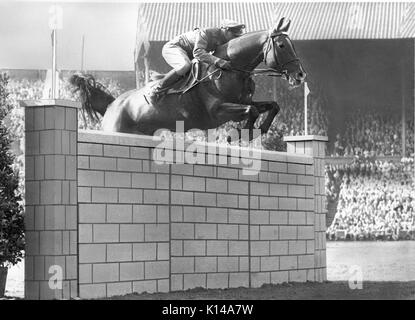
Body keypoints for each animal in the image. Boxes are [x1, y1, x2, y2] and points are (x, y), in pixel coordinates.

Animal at [70, 17, 306, 141]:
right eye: (282, 45)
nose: (300, 76)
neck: (232, 69)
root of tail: (112, 104)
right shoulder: (216, 112)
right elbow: (252, 110)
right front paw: (240, 133)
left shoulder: (243, 101)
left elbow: (271, 105)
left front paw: (259, 129)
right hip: (117, 130)